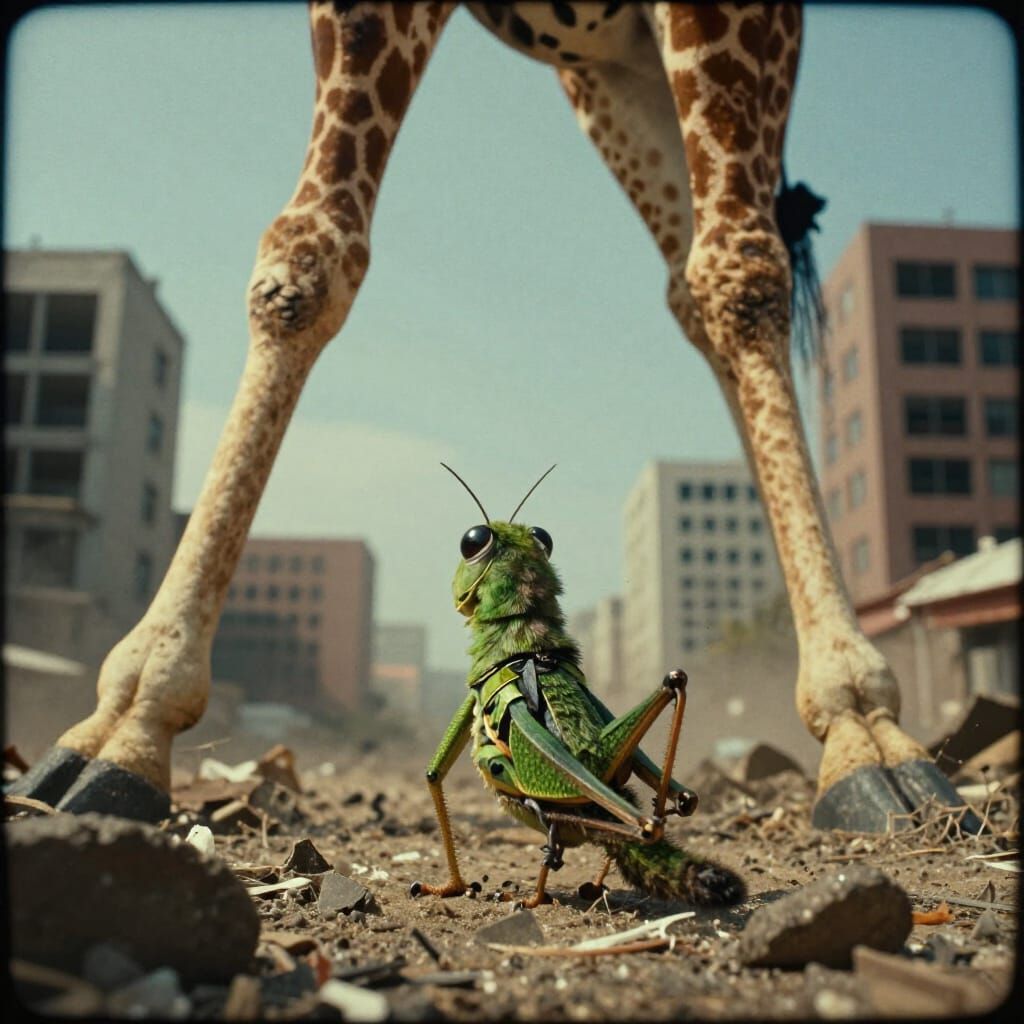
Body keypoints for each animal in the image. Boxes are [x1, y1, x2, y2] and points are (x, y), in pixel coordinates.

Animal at [12, 1, 975, 834]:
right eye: (478, 540)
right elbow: (306, 259)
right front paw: (120, 727)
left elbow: (743, 276)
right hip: (607, 72)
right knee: (692, 279)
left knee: (736, 269)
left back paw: (868, 736)